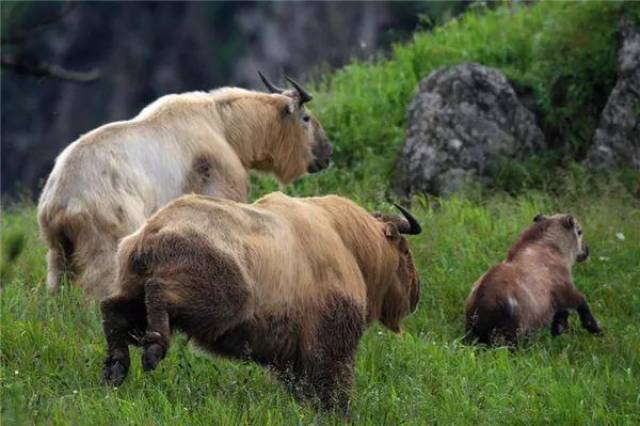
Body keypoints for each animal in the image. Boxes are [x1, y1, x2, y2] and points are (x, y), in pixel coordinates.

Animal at [37, 73, 332, 300]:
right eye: (306, 118)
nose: (327, 151)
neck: (225, 126)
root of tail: (59, 201)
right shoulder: (217, 181)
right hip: (107, 226)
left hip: (58, 246)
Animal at [101, 191, 424, 412]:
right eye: (406, 251)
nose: (416, 295)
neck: (350, 244)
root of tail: (151, 232)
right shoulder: (330, 339)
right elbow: (334, 385)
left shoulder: (291, 357)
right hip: (218, 297)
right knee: (158, 294)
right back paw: (154, 347)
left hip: (134, 290)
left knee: (113, 310)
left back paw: (116, 366)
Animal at [462, 213, 604, 346]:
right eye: (579, 231)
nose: (586, 251)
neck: (554, 248)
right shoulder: (563, 287)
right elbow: (581, 301)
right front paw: (594, 328)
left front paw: (559, 329)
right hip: (512, 332)